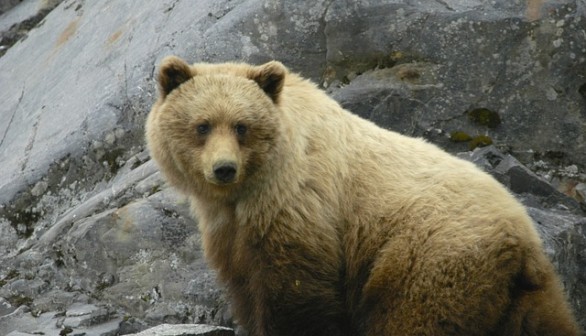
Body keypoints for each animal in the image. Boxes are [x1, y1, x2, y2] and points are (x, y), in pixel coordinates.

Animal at [145, 56, 580, 334]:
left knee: (414, 320)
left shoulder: (301, 207)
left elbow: (296, 296)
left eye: (241, 126)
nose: (223, 168)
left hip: (428, 260)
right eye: (202, 125)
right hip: (524, 292)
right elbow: (244, 286)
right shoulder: (231, 231)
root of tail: (521, 237)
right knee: (546, 322)